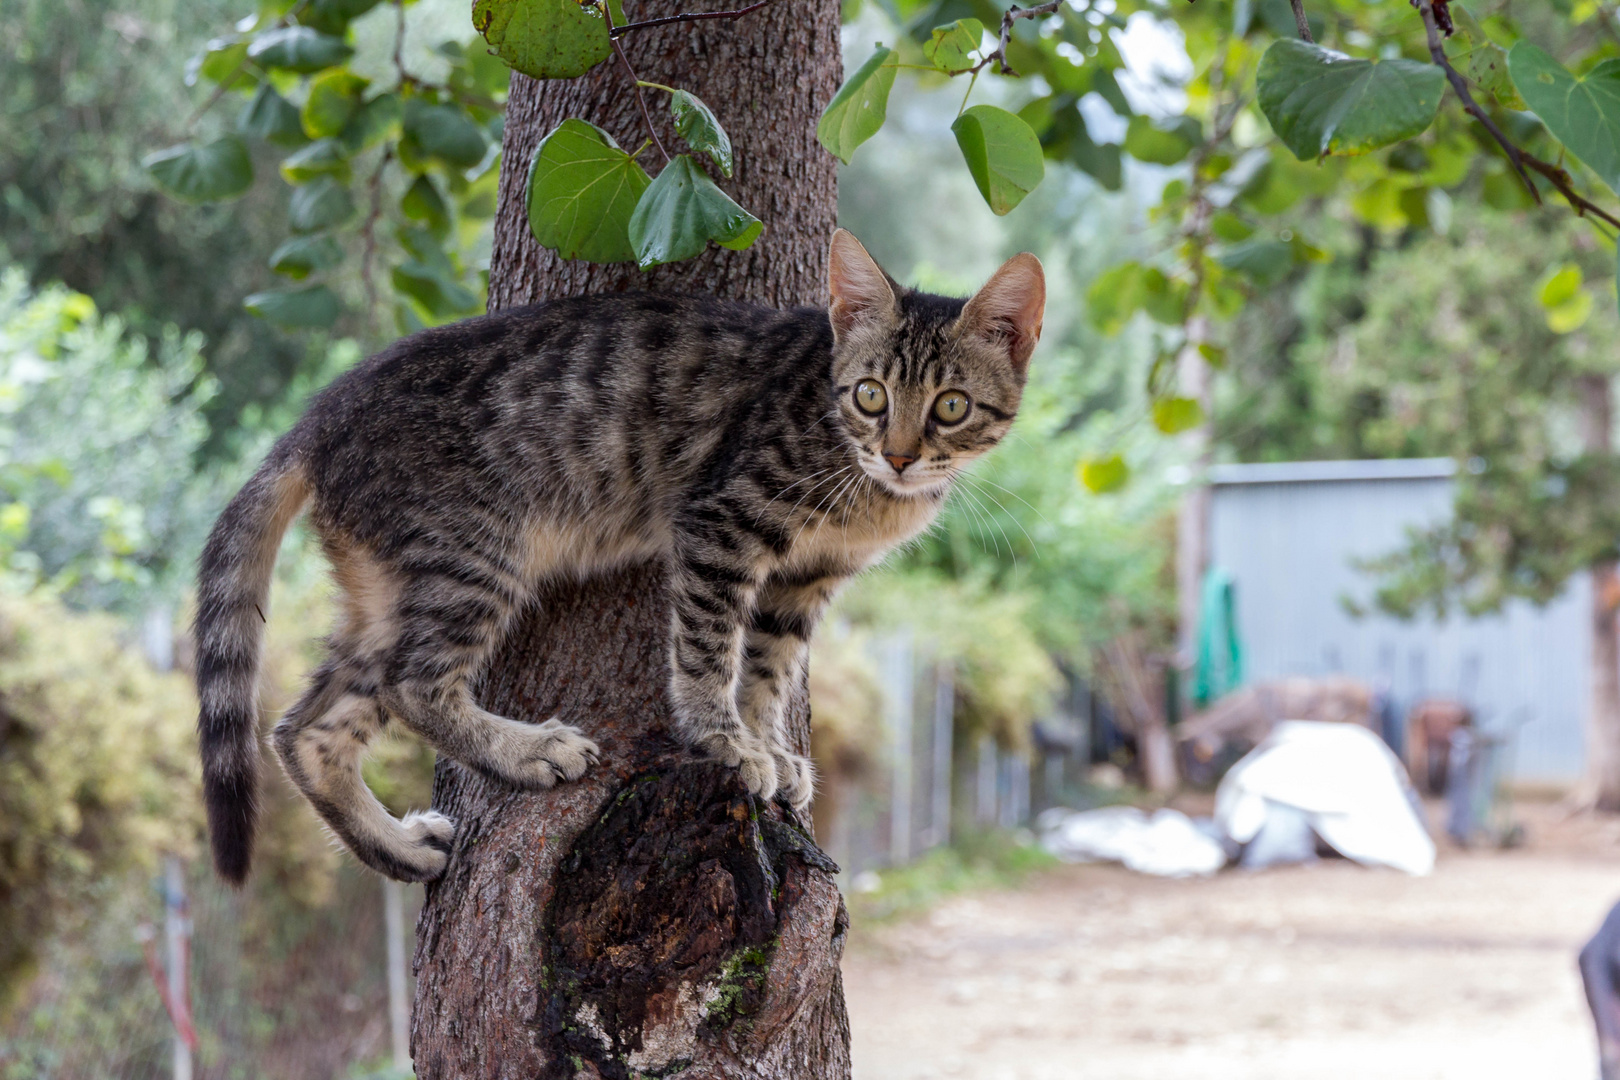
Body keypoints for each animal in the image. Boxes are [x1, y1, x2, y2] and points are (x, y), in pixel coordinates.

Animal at [192, 229, 1049, 887]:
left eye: (950, 407)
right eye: (871, 395)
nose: (901, 456)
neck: (862, 477)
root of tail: (323, 414)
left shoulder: (805, 580)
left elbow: (769, 670)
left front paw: (769, 743)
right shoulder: (721, 523)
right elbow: (711, 650)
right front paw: (723, 740)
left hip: (387, 589)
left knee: (305, 730)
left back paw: (397, 847)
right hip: (475, 555)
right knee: (413, 685)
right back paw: (526, 751)